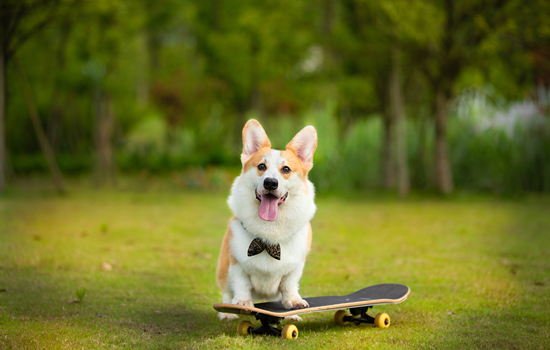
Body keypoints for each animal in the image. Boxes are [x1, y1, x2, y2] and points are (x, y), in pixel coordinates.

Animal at [217, 119, 320, 320]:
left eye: (286, 169)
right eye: (261, 167)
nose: (270, 183)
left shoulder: (295, 266)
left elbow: (289, 284)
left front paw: (293, 304)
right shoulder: (237, 262)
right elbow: (241, 283)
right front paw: (242, 303)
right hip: (223, 267)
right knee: (226, 292)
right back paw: (227, 312)